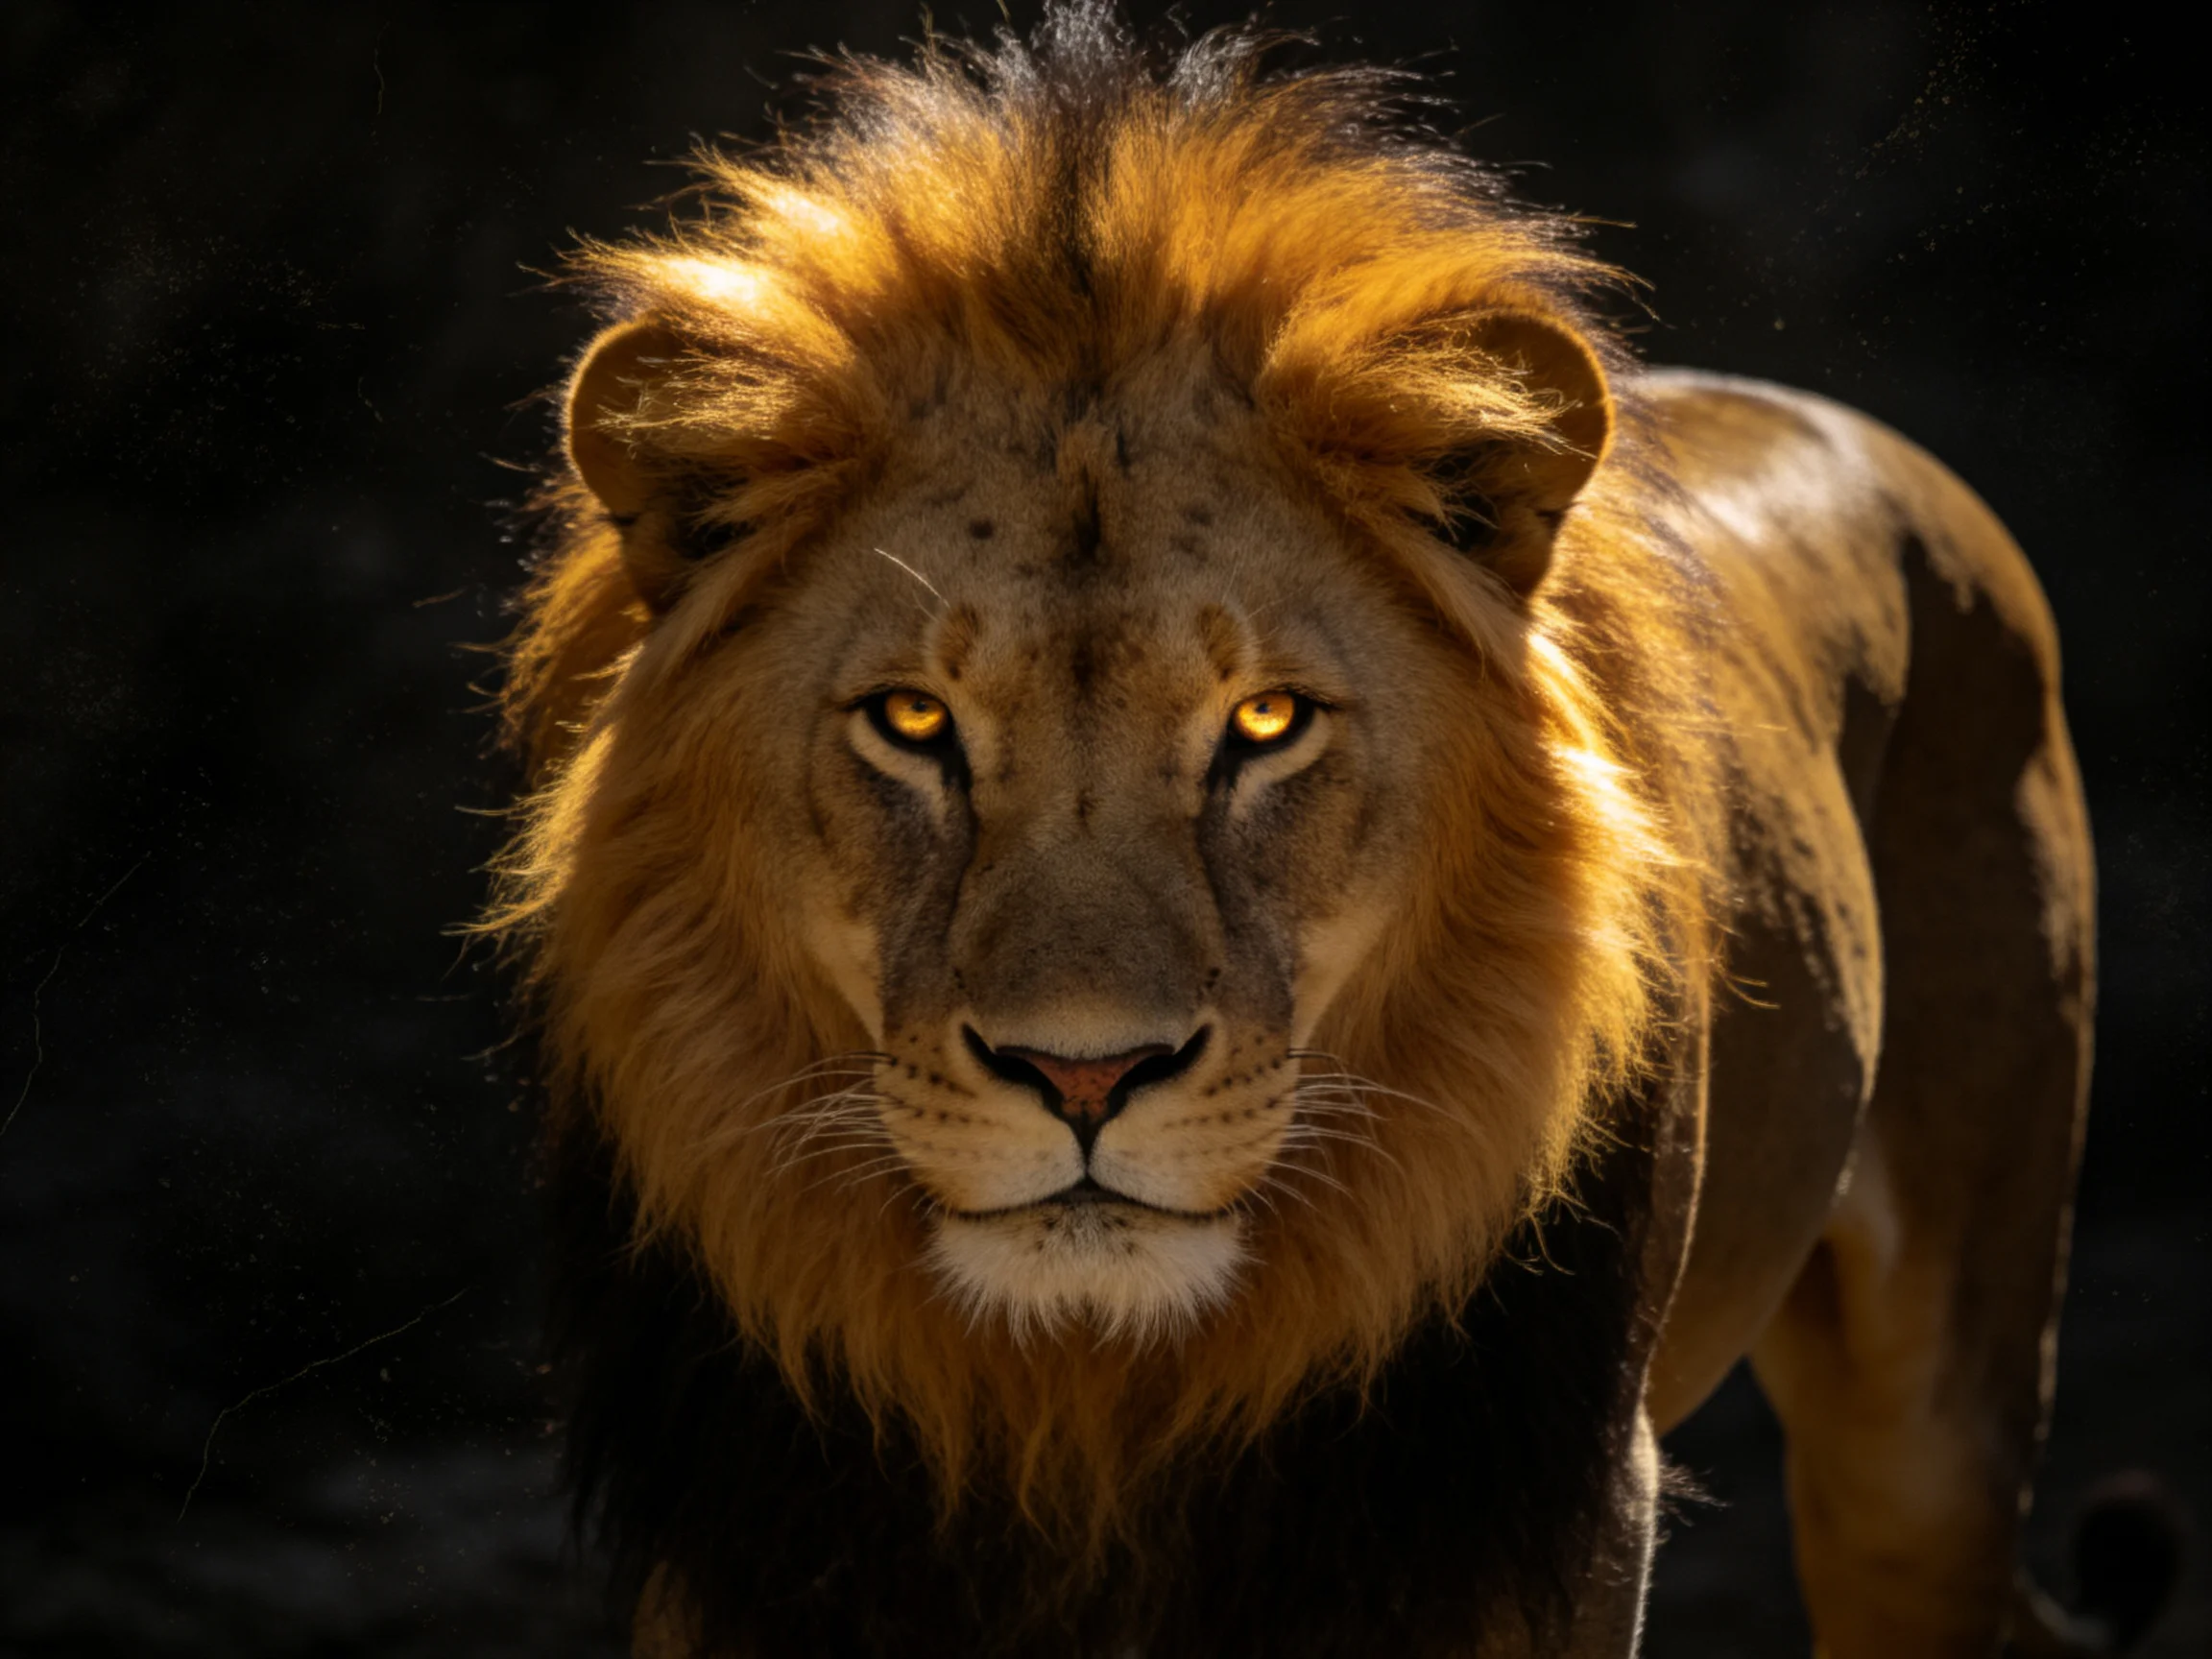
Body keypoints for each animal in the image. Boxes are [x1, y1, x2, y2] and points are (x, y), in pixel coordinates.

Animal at [488, 8, 2154, 1656]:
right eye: (911, 721)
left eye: (1266, 723)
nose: (1082, 1077)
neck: (1082, 1389)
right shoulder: (740, 1542)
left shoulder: (1533, 1528)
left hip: (1940, 1426)